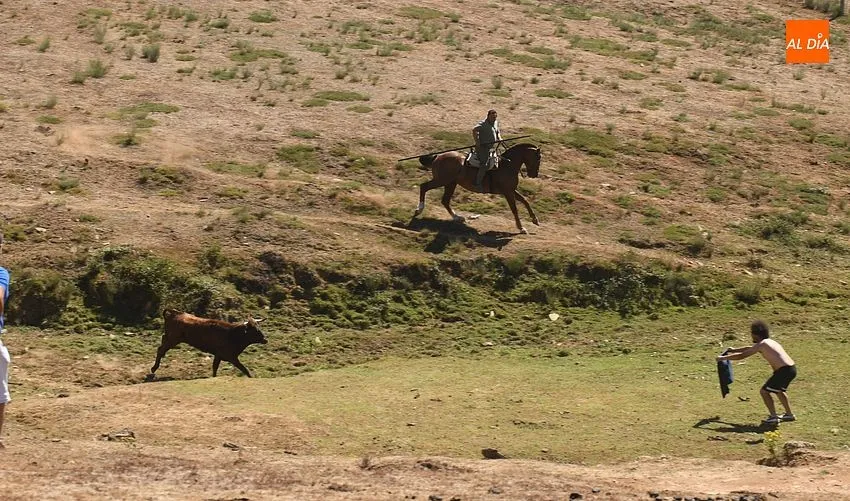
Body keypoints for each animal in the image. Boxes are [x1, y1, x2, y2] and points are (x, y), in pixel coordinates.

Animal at [413, 143, 542, 234]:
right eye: (538, 158)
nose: (534, 174)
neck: (507, 165)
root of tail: (438, 157)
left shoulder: (511, 190)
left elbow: (525, 201)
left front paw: (535, 220)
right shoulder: (508, 192)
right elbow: (514, 209)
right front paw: (521, 228)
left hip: (450, 183)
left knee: (445, 200)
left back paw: (457, 217)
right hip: (442, 181)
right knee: (424, 187)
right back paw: (419, 209)